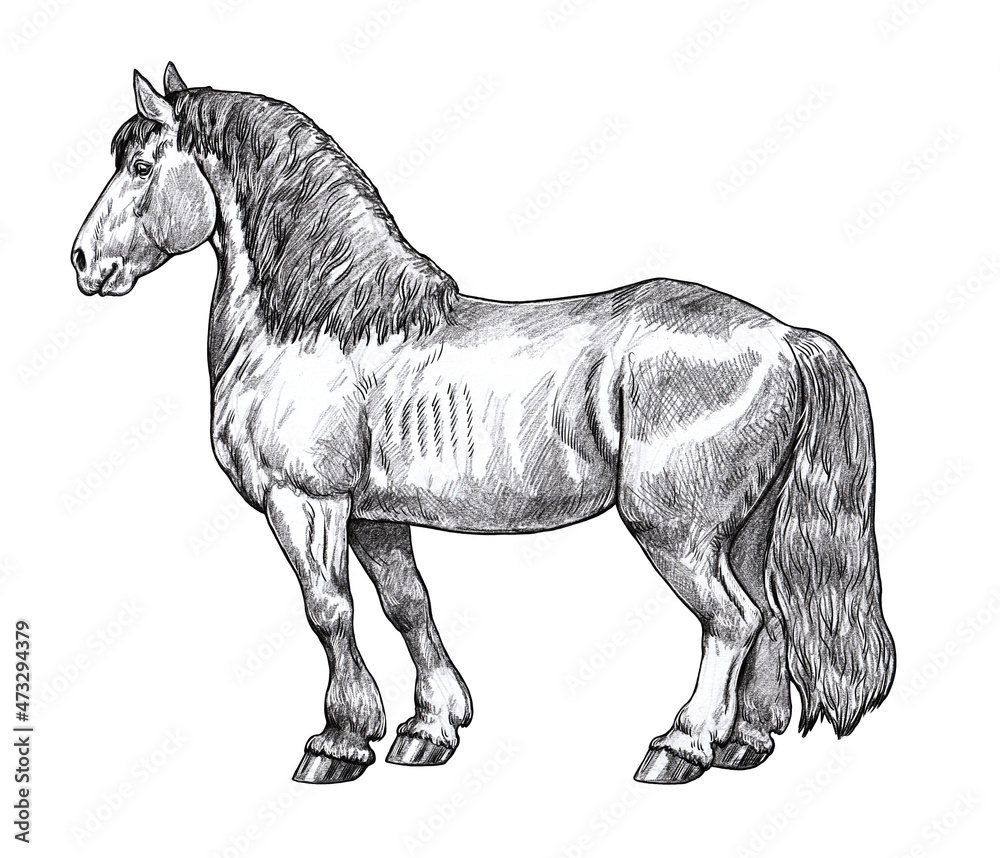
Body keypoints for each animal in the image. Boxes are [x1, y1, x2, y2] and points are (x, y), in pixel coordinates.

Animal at [71, 64, 895, 785]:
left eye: (141, 164)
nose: (83, 262)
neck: (325, 322)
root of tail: (787, 338)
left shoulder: (306, 504)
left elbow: (329, 611)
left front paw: (339, 741)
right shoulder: (373, 516)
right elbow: (407, 607)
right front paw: (428, 729)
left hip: (676, 531)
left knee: (731, 621)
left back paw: (681, 746)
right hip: (745, 528)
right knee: (770, 618)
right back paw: (743, 743)